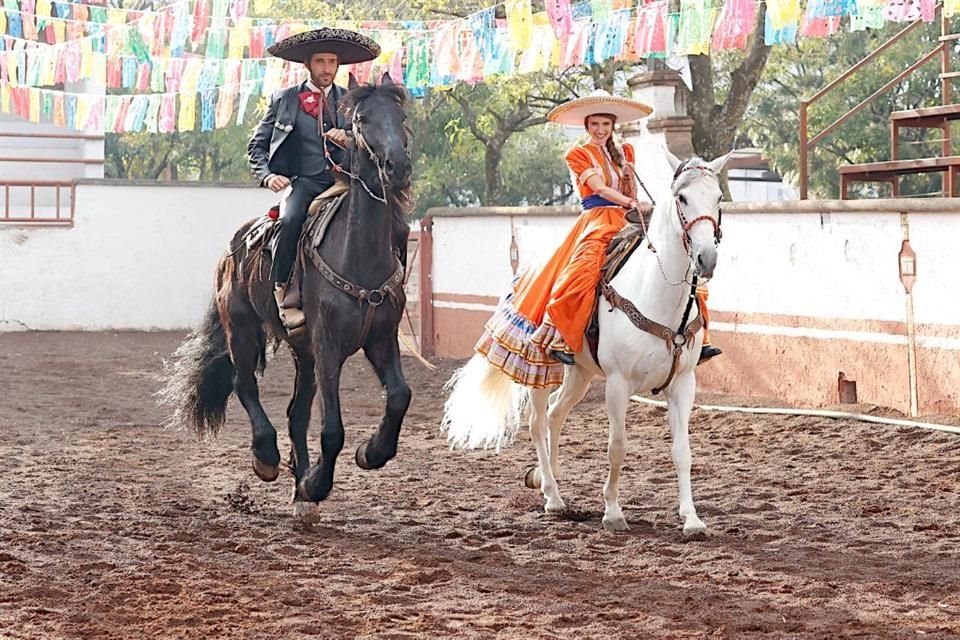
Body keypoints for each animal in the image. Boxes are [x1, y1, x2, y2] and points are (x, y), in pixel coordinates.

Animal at [162, 75, 416, 512]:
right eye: (361, 119)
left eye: (400, 116)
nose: (397, 167)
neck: (358, 254)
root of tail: (232, 248)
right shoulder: (329, 346)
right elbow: (332, 429)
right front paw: (317, 484)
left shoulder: (380, 339)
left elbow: (400, 395)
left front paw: (370, 453)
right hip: (243, 329)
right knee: (245, 385)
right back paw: (267, 459)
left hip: (303, 352)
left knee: (296, 413)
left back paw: (300, 491)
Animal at [442, 154, 728, 536]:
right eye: (681, 198)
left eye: (718, 197)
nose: (706, 258)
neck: (659, 297)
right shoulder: (618, 384)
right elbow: (617, 447)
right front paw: (613, 512)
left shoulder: (683, 384)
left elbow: (683, 451)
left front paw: (692, 519)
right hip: (537, 367)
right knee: (538, 422)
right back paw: (552, 496)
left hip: (579, 373)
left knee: (556, 414)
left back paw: (548, 480)